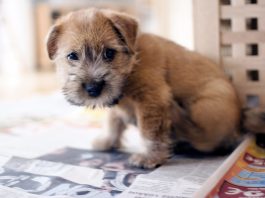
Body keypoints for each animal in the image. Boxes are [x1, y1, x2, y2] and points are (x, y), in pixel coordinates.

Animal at [45, 8, 260, 168]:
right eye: (72, 56)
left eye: (109, 53)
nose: (93, 89)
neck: (131, 66)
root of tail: (241, 120)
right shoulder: (117, 104)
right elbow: (113, 121)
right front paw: (106, 141)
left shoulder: (152, 100)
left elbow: (149, 133)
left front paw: (149, 157)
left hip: (205, 106)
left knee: (205, 140)